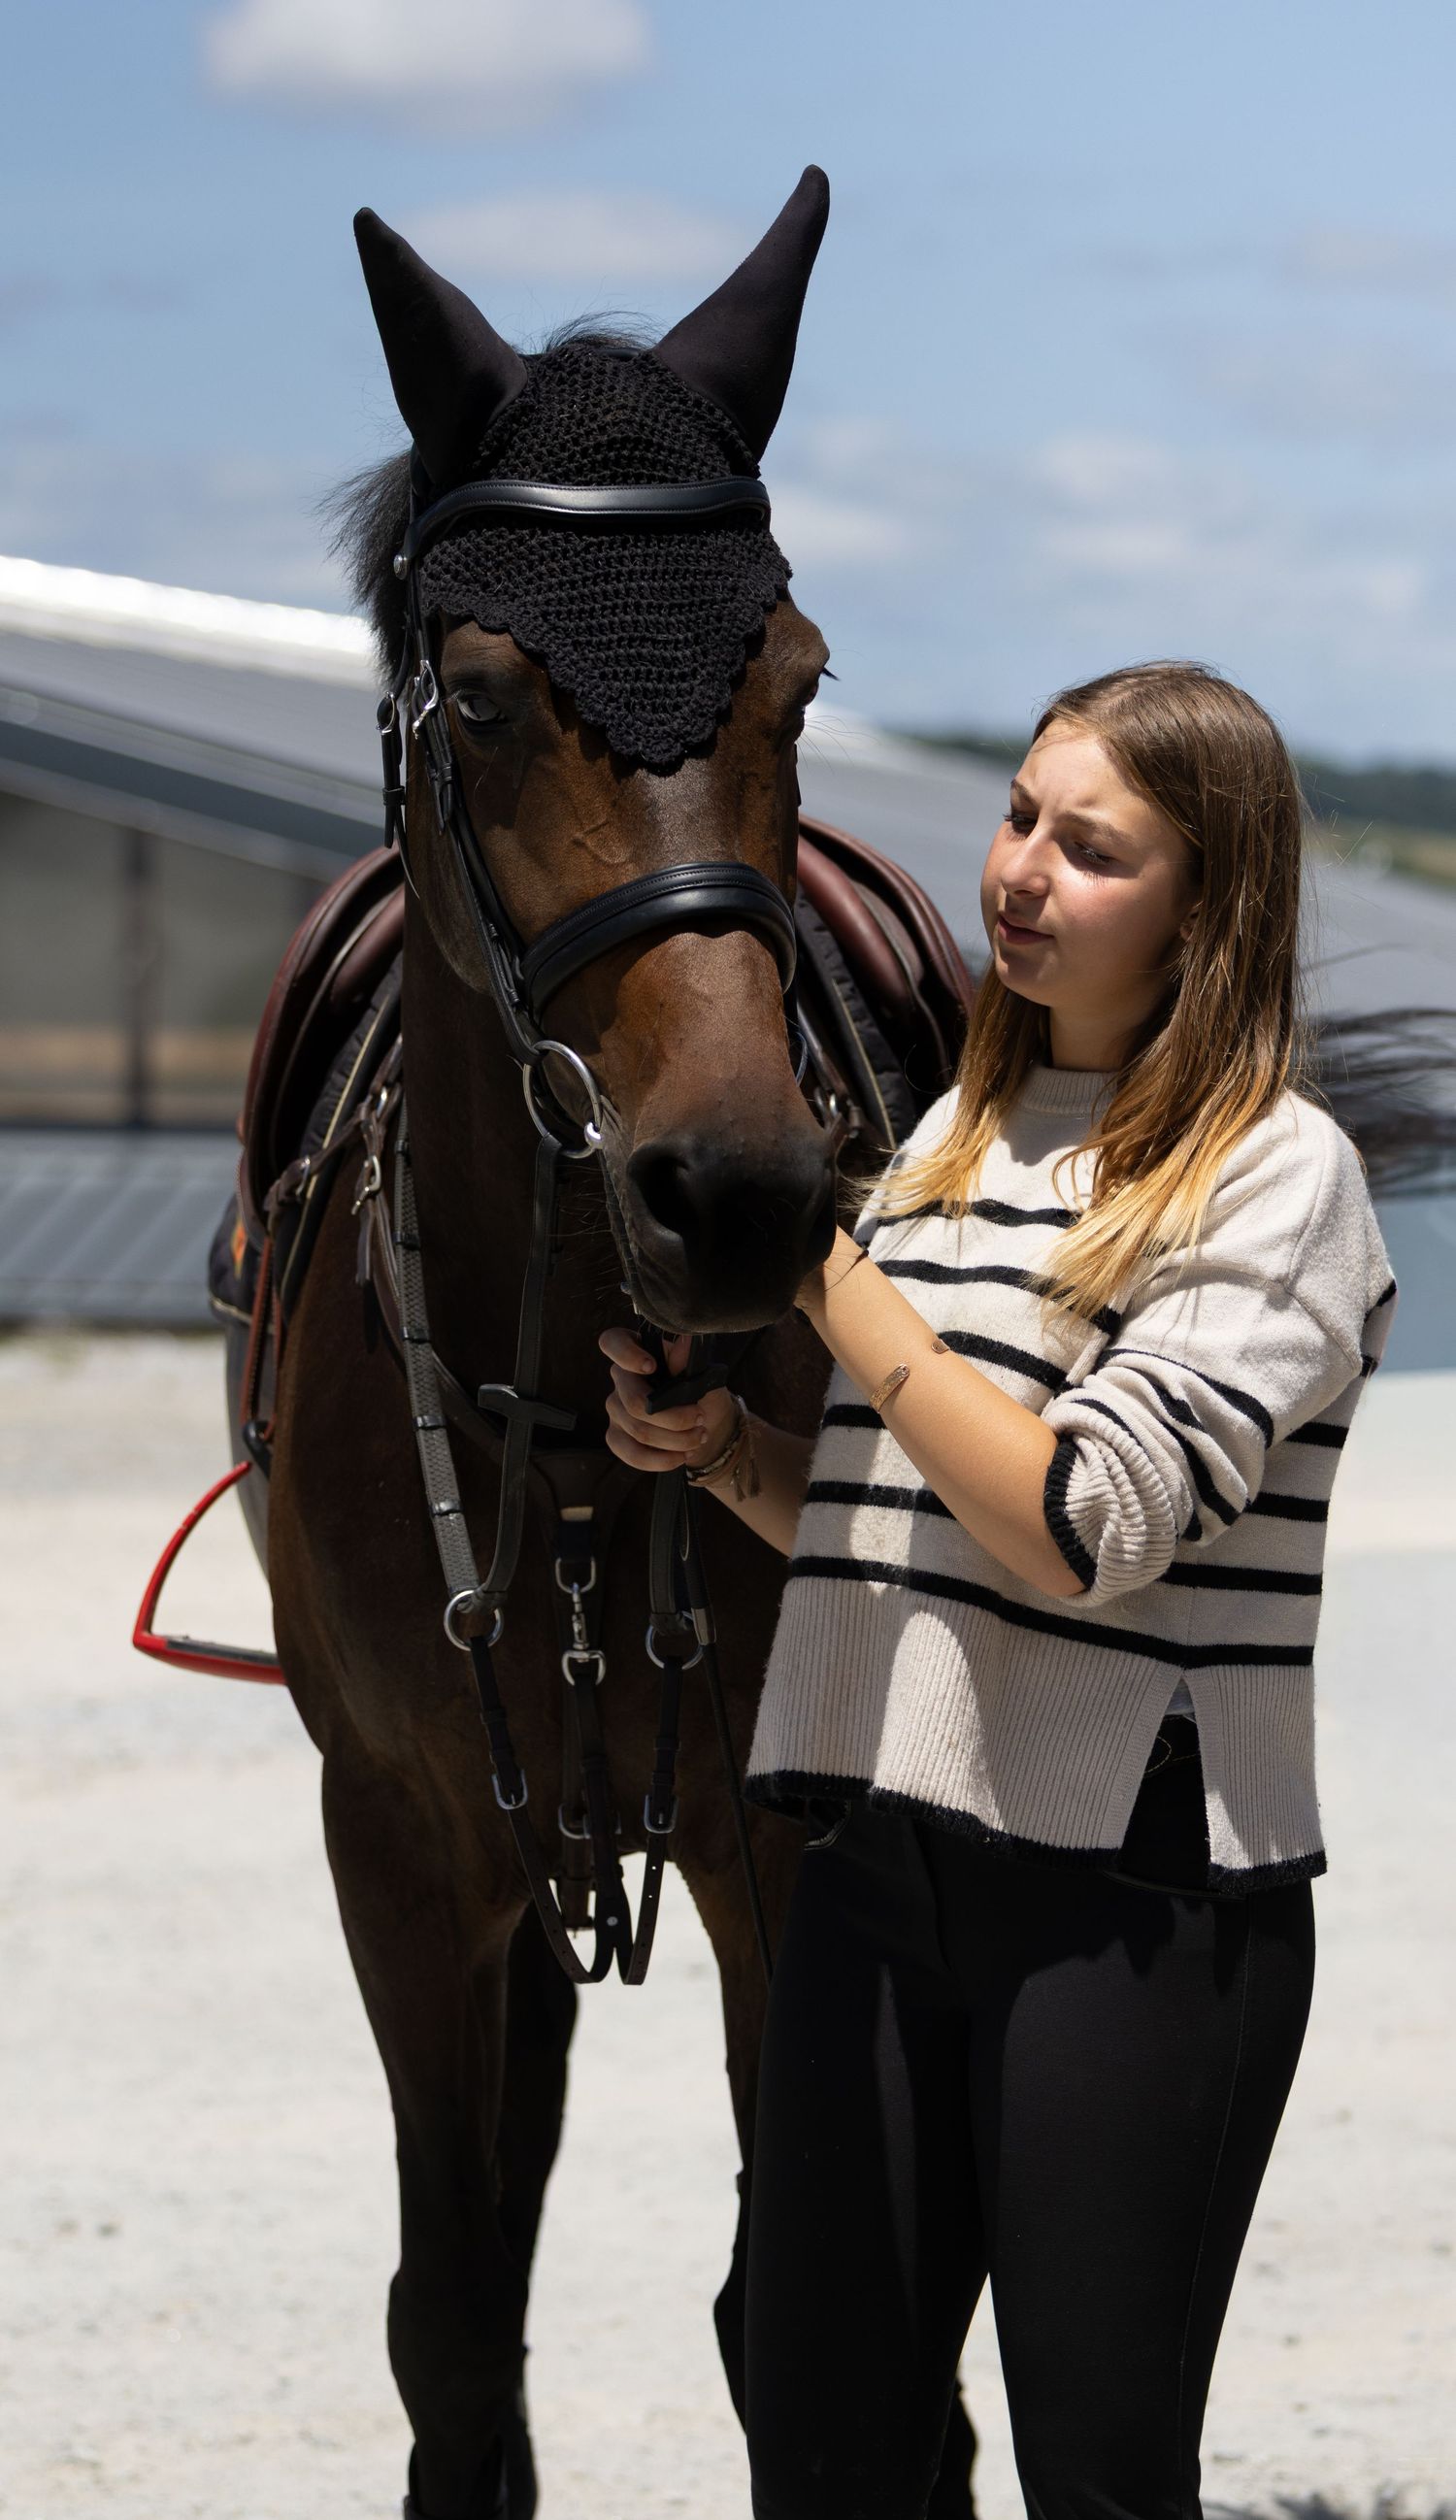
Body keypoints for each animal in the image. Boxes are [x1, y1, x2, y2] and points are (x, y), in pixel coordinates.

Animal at [245, 170, 980, 2519]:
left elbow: (821, 2340)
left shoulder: (781, 1847)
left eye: (802, 682)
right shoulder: (397, 1841)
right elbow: (454, 2323)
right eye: (482, 694)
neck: (569, 1396)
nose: (734, 1190)